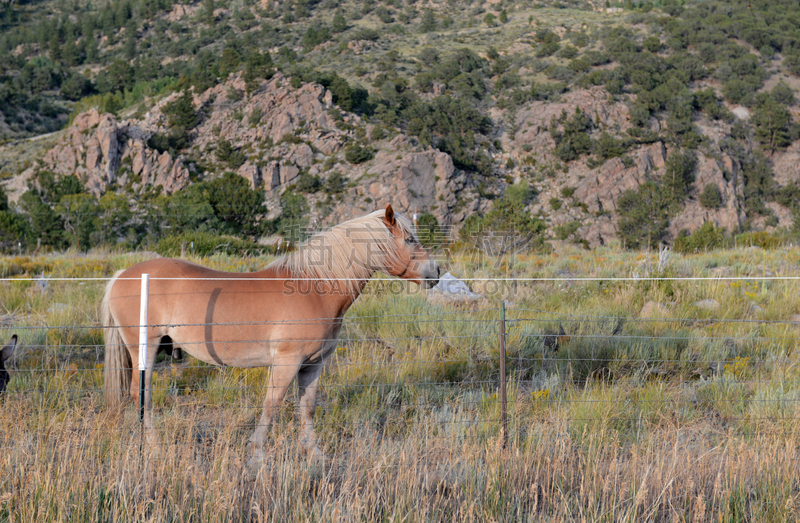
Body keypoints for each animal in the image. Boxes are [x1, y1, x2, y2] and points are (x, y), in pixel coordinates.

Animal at [103, 205, 440, 466]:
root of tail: (122, 275)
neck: (315, 287)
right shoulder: (287, 362)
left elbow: (306, 408)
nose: (435, 272)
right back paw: (155, 449)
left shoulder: (313, 365)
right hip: (144, 348)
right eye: (410, 239)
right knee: (141, 395)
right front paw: (256, 455)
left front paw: (315, 455)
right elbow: (272, 405)